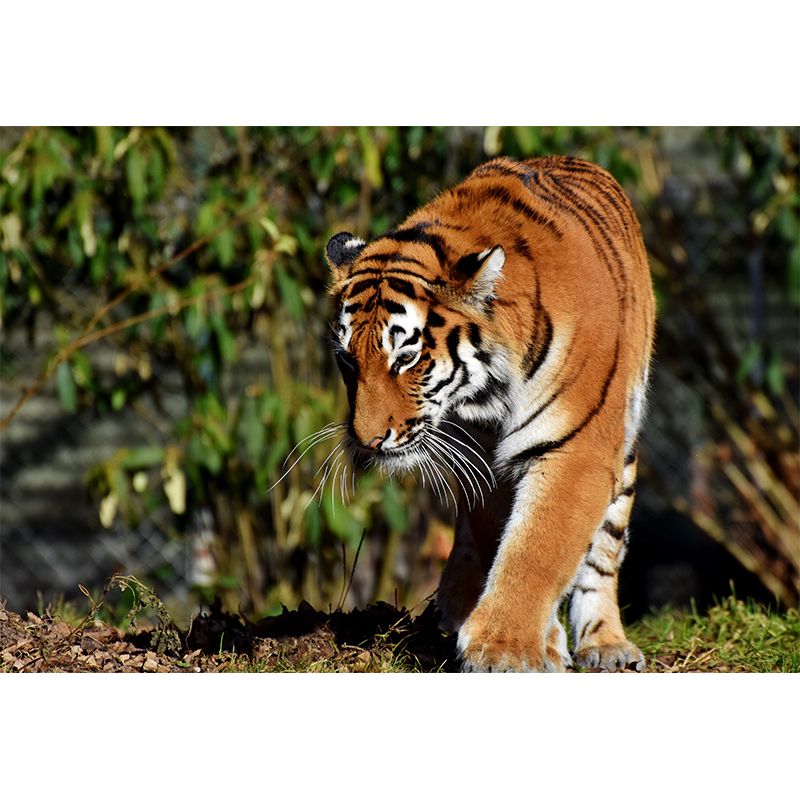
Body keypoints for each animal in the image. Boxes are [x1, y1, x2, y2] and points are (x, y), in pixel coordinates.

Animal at [324, 155, 656, 672]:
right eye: (347, 361)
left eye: (406, 358)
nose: (367, 440)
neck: (483, 397)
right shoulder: (478, 459)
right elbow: (499, 538)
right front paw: (536, 643)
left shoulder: (576, 449)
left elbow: (538, 547)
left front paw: (504, 649)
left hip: (620, 448)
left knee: (602, 554)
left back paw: (606, 645)